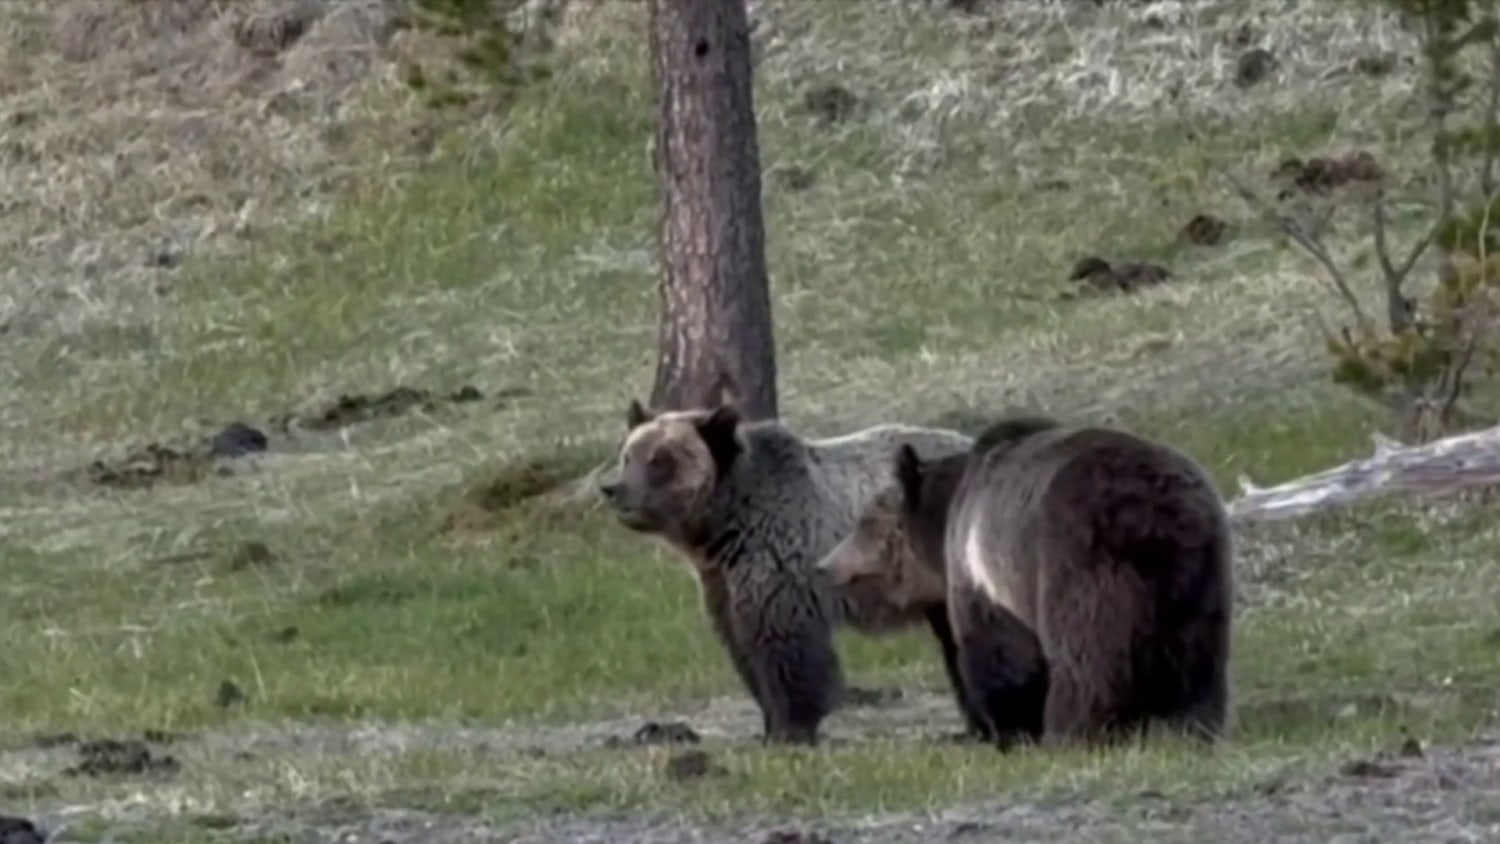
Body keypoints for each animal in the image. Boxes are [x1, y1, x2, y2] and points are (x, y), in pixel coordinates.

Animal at [598, 398, 979, 745]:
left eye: (660, 460)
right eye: (628, 454)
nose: (614, 488)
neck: (726, 525)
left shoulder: (779, 559)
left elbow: (786, 650)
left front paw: (790, 728)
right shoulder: (722, 581)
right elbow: (743, 648)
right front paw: (768, 726)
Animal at [816, 414, 1234, 748]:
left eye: (864, 522)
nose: (824, 566)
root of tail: (1152, 512)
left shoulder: (984, 574)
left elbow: (998, 653)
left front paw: (1009, 729)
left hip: (1078, 560)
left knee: (1086, 654)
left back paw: (1073, 730)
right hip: (1198, 568)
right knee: (1198, 654)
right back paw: (1191, 723)